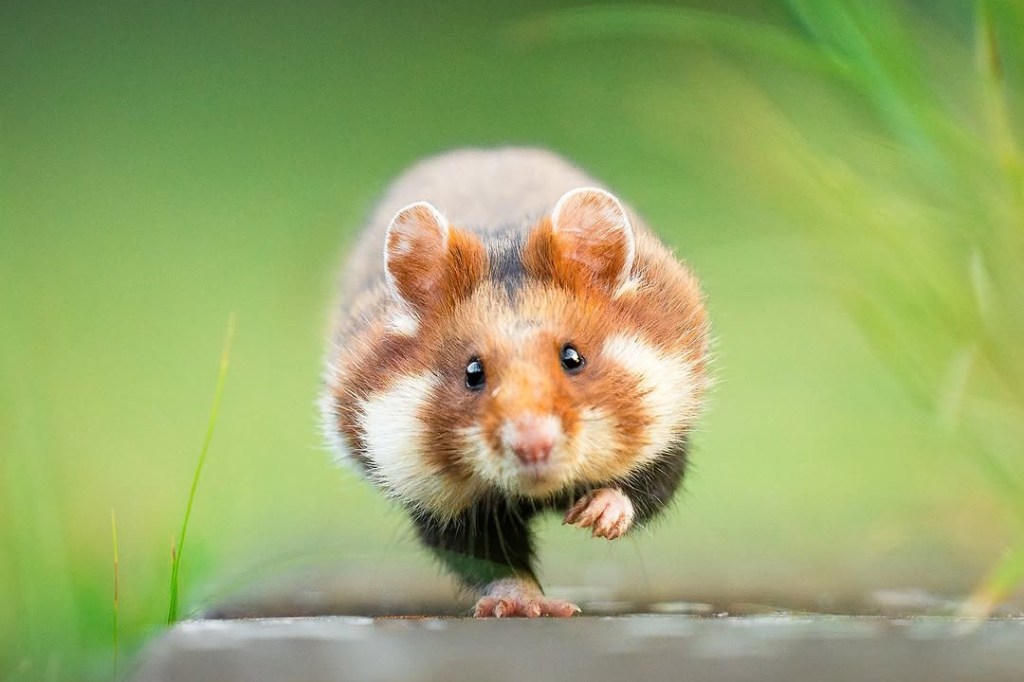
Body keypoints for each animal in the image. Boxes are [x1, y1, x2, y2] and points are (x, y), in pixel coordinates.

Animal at [321, 148, 710, 617]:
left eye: (573, 357)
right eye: (473, 372)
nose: (533, 447)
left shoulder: (667, 429)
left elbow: (646, 486)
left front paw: (595, 517)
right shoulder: (433, 496)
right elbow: (487, 559)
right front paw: (532, 606)